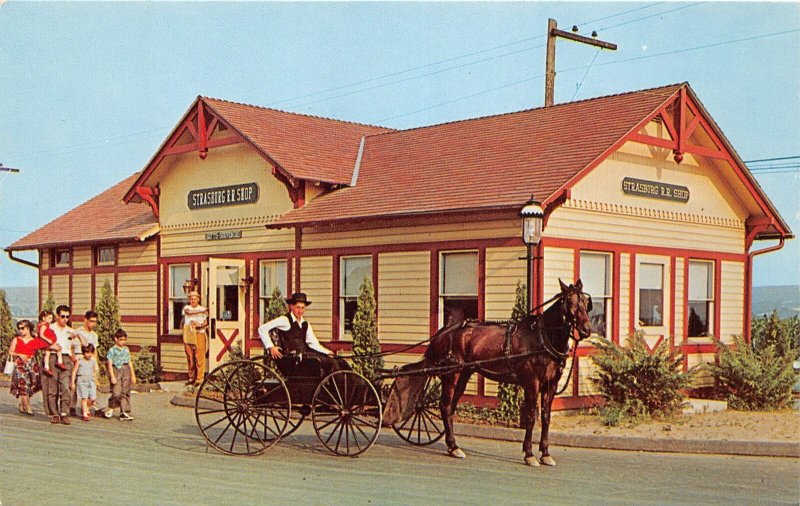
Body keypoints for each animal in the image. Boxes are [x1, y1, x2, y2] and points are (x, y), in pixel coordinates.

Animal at [424, 280, 592, 466]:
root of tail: (445, 330)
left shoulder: (551, 384)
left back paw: (452, 446)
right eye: (570, 301)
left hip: (464, 374)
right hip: (451, 374)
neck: (542, 338)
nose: (586, 329)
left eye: (586, 302)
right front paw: (529, 454)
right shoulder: (532, 383)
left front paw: (545, 453)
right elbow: (530, 418)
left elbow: (546, 417)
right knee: (445, 406)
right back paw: (453, 446)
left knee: (451, 407)